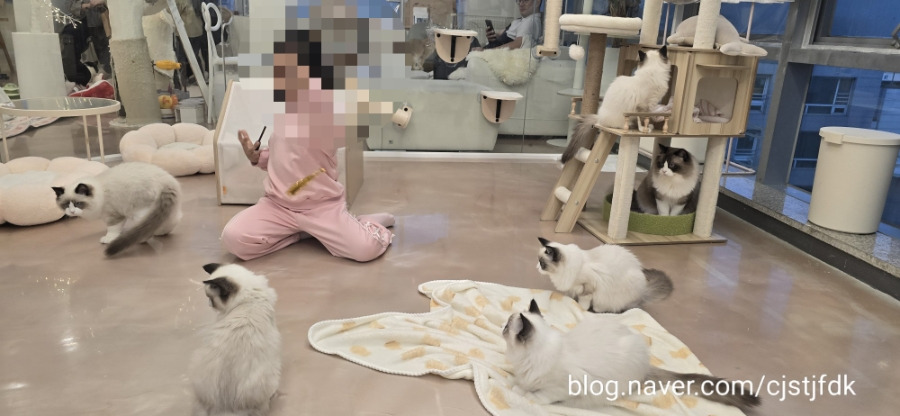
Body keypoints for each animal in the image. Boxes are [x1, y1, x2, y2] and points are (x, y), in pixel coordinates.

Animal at [53, 162, 181, 256]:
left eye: (78, 204)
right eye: (66, 205)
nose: (72, 211)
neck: (100, 193)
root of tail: (166, 180)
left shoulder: (113, 215)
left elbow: (112, 229)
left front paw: (108, 239)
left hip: (139, 212)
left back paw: (143, 239)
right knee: (173, 218)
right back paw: (162, 233)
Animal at [503, 299, 761, 410]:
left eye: (507, 327)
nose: (502, 328)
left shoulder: (562, 387)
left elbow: (539, 395)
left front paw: (524, 394)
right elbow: (521, 385)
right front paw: (517, 387)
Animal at [536, 237, 672, 313]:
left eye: (542, 263)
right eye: (539, 261)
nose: (536, 267)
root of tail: (643, 292)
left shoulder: (588, 286)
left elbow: (583, 301)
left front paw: (581, 309)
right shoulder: (571, 288)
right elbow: (571, 296)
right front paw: (571, 302)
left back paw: (599, 309)